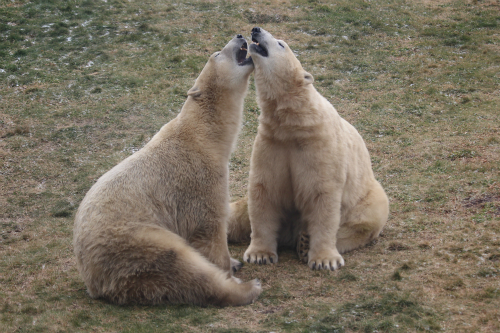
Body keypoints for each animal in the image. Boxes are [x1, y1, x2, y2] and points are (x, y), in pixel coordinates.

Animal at [73, 35, 262, 304]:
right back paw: (248, 288)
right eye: (217, 54)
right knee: (178, 265)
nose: (239, 36)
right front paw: (229, 268)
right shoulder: (199, 178)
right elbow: (209, 227)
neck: (200, 135)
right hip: (136, 241)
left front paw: (234, 262)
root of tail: (92, 280)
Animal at [230, 27, 390, 270]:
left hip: (369, 197)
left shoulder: (319, 146)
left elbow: (322, 196)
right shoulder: (272, 143)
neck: (295, 121)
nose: (256, 30)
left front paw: (324, 259)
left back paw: (305, 243)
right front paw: (260, 255)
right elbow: (264, 192)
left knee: (365, 221)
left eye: (281, 44)